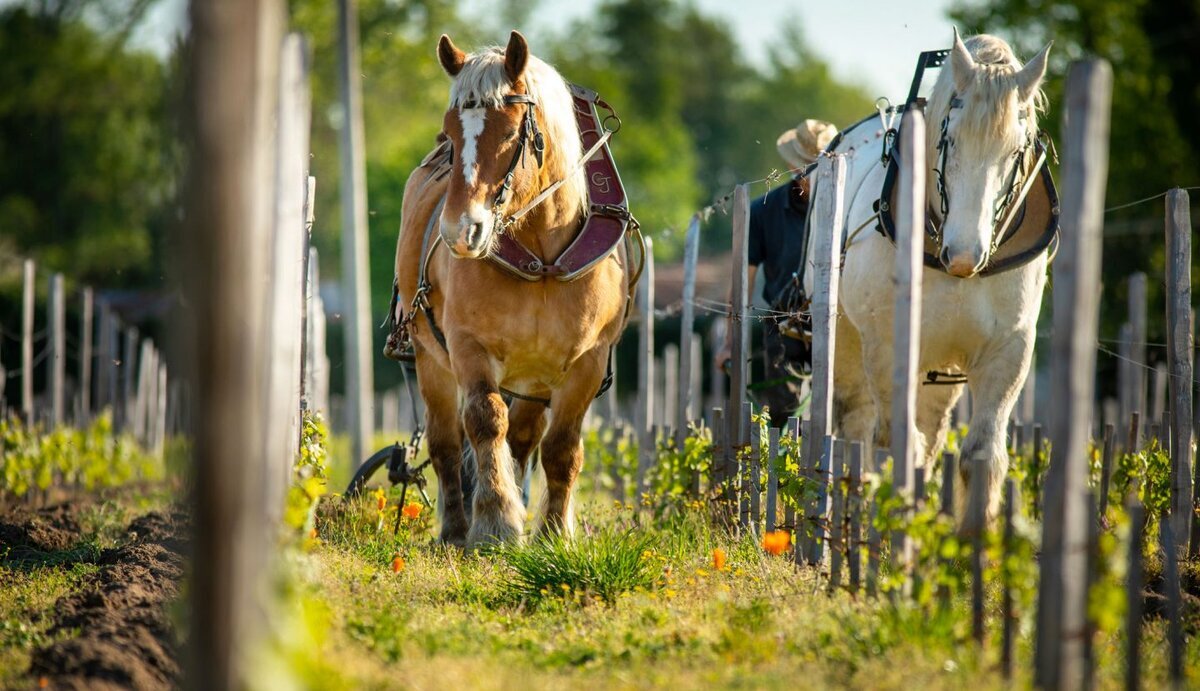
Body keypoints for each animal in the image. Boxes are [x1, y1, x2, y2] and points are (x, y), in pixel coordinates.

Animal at [391, 31, 638, 551]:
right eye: (451, 134)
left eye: (509, 134)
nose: (459, 231)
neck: (542, 256)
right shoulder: (467, 346)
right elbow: (485, 422)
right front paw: (496, 522)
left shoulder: (588, 361)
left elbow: (561, 447)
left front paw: (552, 534)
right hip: (429, 356)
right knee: (446, 443)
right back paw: (455, 529)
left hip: (534, 378)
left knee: (524, 440)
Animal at [811, 32, 1056, 527]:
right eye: (949, 139)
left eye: (1016, 150)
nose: (963, 255)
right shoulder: (888, 347)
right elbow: (896, 448)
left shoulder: (1009, 350)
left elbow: (981, 454)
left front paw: (972, 540)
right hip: (845, 342)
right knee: (855, 427)